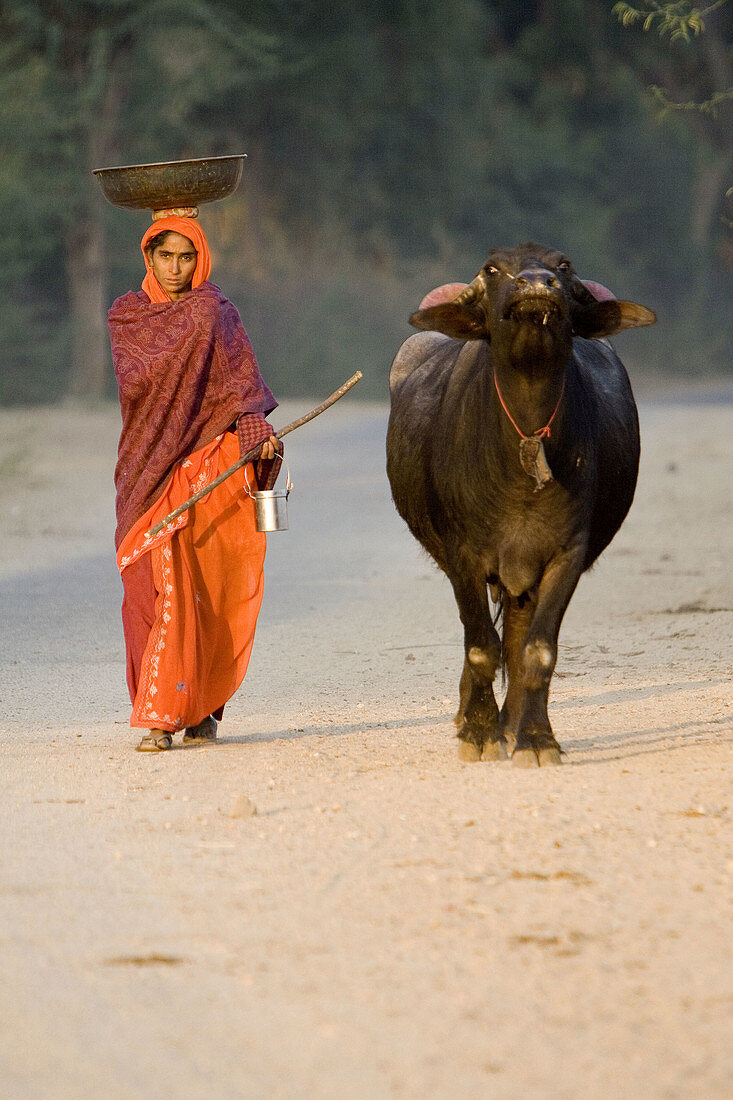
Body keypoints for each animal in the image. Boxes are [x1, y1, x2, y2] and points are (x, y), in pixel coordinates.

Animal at [385, 245, 651, 770]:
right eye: (493, 270)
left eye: (563, 267)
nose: (535, 284)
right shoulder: (463, 557)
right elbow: (480, 648)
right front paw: (478, 733)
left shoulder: (566, 554)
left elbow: (538, 650)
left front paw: (536, 739)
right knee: (488, 638)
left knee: (516, 635)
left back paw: (511, 725)